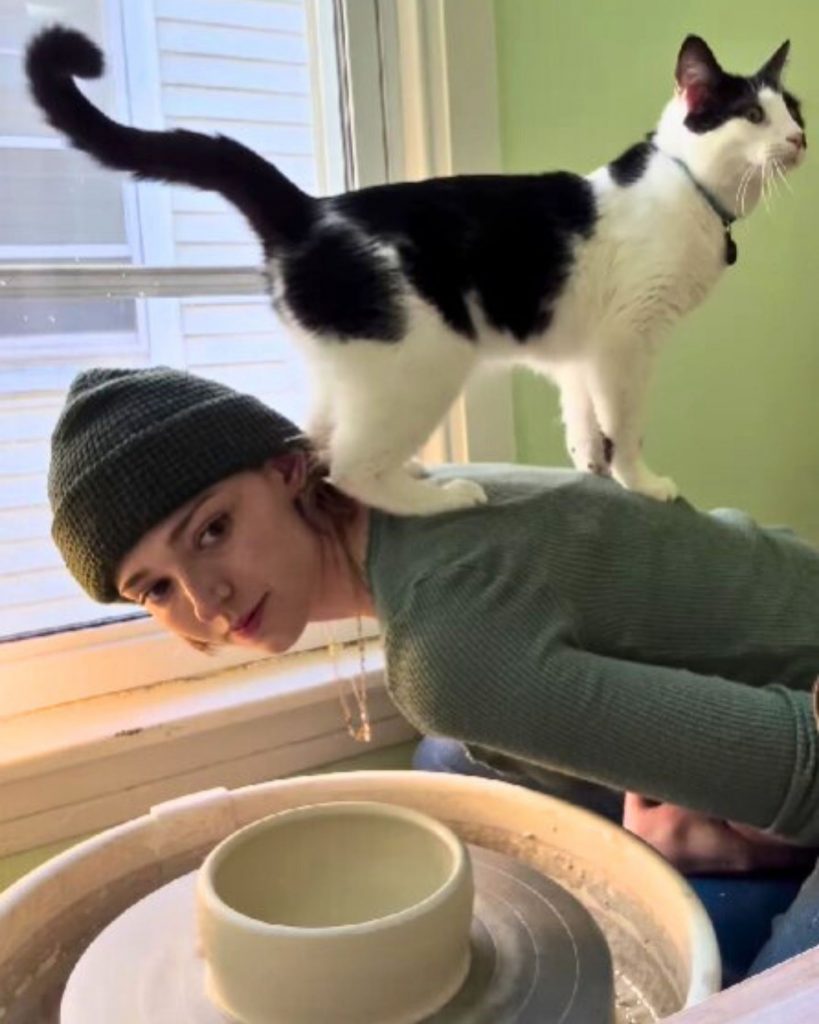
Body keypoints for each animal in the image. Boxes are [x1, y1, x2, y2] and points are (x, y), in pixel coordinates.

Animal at [25, 27, 806, 512]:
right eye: (749, 114)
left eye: (793, 108)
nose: (799, 138)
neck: (688, 188)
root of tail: (310, 209)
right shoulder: (626, 342)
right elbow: (627, 422)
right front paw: (640, 481)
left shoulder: (583, 349)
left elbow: (584, 414)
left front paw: (590, 465)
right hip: (424, 362)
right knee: (344, 469)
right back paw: (438, 500)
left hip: (352, 366)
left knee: (318, 441)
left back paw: (409, 470)